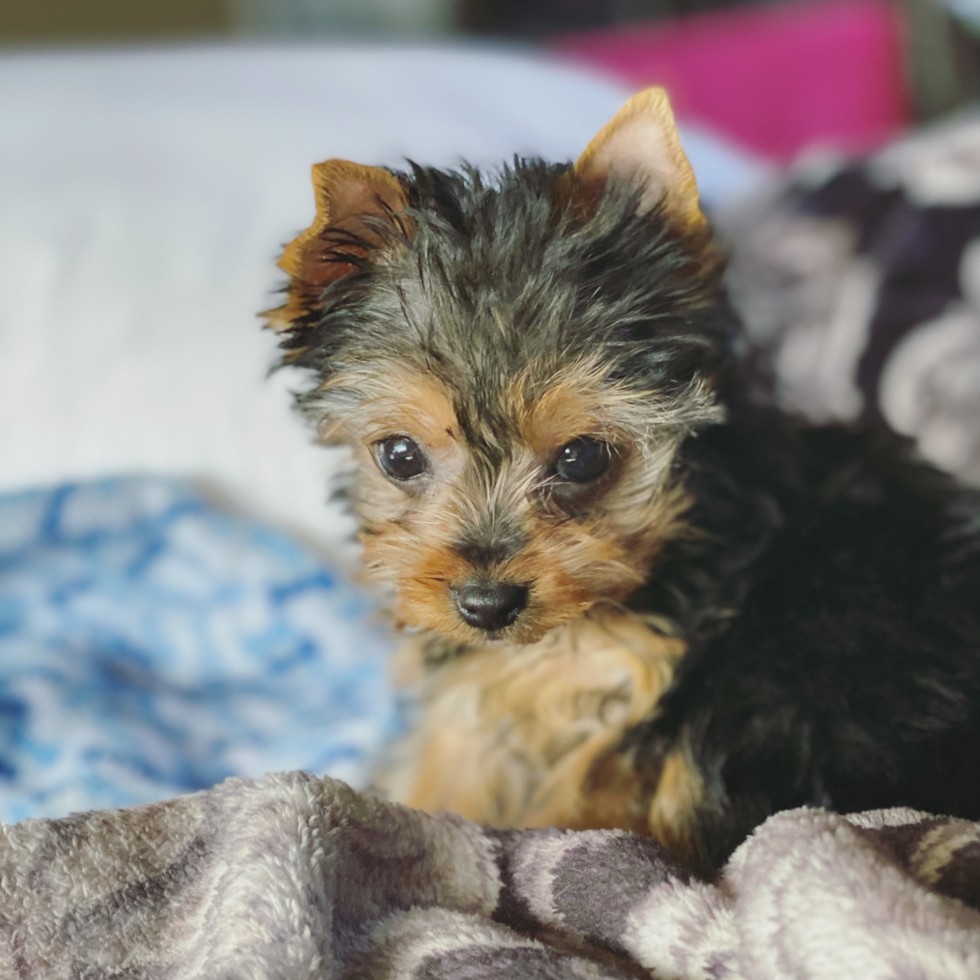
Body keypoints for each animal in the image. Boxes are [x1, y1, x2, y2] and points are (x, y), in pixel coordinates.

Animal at [266, 88, 980, 868]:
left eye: (582, 458)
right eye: (399, 456)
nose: (486, 604)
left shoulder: (630, 684)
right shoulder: (497, 682)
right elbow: (455, 750)